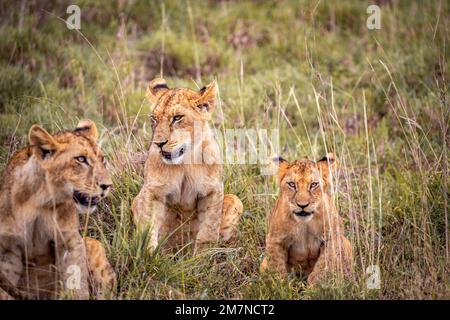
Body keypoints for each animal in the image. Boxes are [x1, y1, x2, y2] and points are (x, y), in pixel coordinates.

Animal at [0, 120, 116, 300]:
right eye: (81, 159)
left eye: (102, 160)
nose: (107, 185)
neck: (40, 200)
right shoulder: (8, 250)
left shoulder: (70, 241)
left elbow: (77, 283)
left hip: (92, 243)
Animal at [131, 78, 243, 252]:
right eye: (154, 119)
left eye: (177, 117)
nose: (158, 143)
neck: (184, 162)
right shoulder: (153, 191)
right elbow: (148, 226)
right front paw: (148, 254)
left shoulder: (212, 191)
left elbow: (209, 229)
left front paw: (203, 255)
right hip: (136, 200)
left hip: (236, 200)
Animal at [260, 154, 356, 284]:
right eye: (292, 184)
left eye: (313, 184)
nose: (302, 205)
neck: (304, 223)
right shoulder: (275, 239)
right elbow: (277, 268)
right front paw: (281, 285)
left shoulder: (333, 237)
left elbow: (323, 266)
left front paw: (315, 286)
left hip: (346, 244)